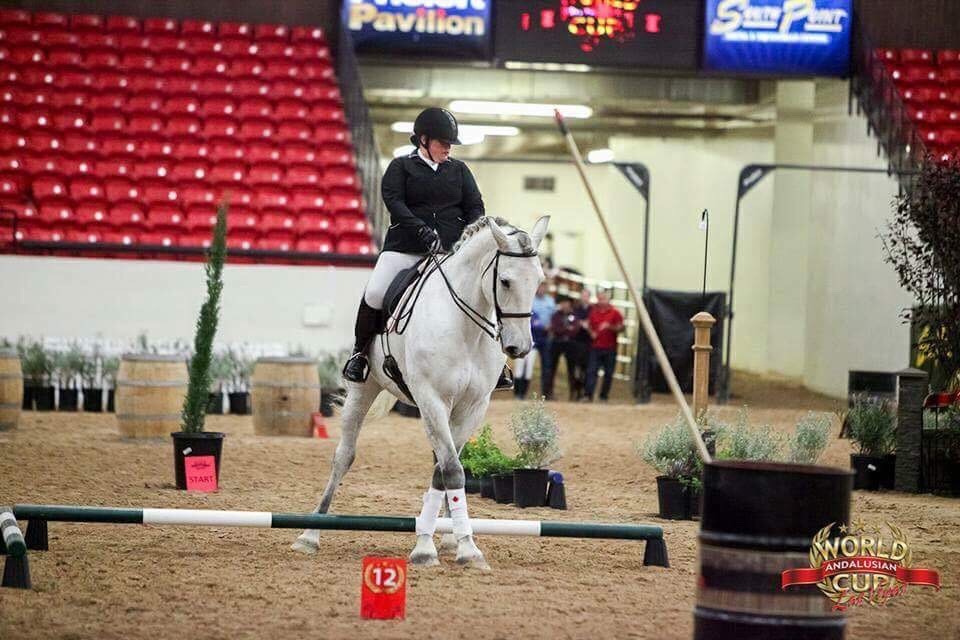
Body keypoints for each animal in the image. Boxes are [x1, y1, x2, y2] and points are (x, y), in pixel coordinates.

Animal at [292, 218, 548, 568]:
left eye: (539, 281)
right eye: (505, 281)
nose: (519, 348)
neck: (466, 328)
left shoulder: (472, 406)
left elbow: (445, 470)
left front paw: (452, 542)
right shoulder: (431, 398)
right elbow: (452, 469)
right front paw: (443, 549)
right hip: (365, 387)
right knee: (344, 456)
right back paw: (310, 534)